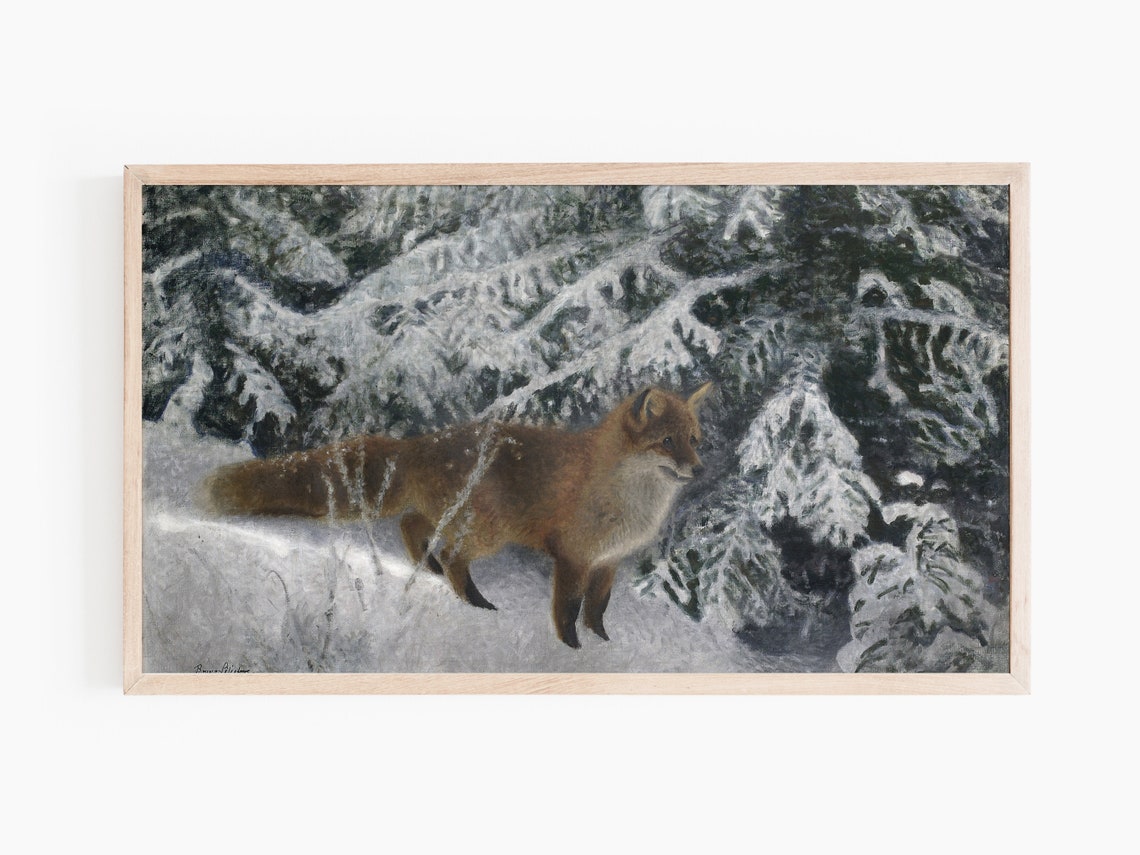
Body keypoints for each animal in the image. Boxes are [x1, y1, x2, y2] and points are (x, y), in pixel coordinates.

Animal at [202, 382, 713, 648]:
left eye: (694, 439)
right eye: (667, 441)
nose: (700, 469)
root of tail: (422, 443)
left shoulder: (607, 562)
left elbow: (598, 610)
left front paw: (604, 645)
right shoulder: (573, 557)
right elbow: (568, 611)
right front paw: (571, 650)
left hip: (458, 519)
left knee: (411, 526)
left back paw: (427, 570)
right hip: (487, 532)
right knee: (450, 555)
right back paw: (473, 603)